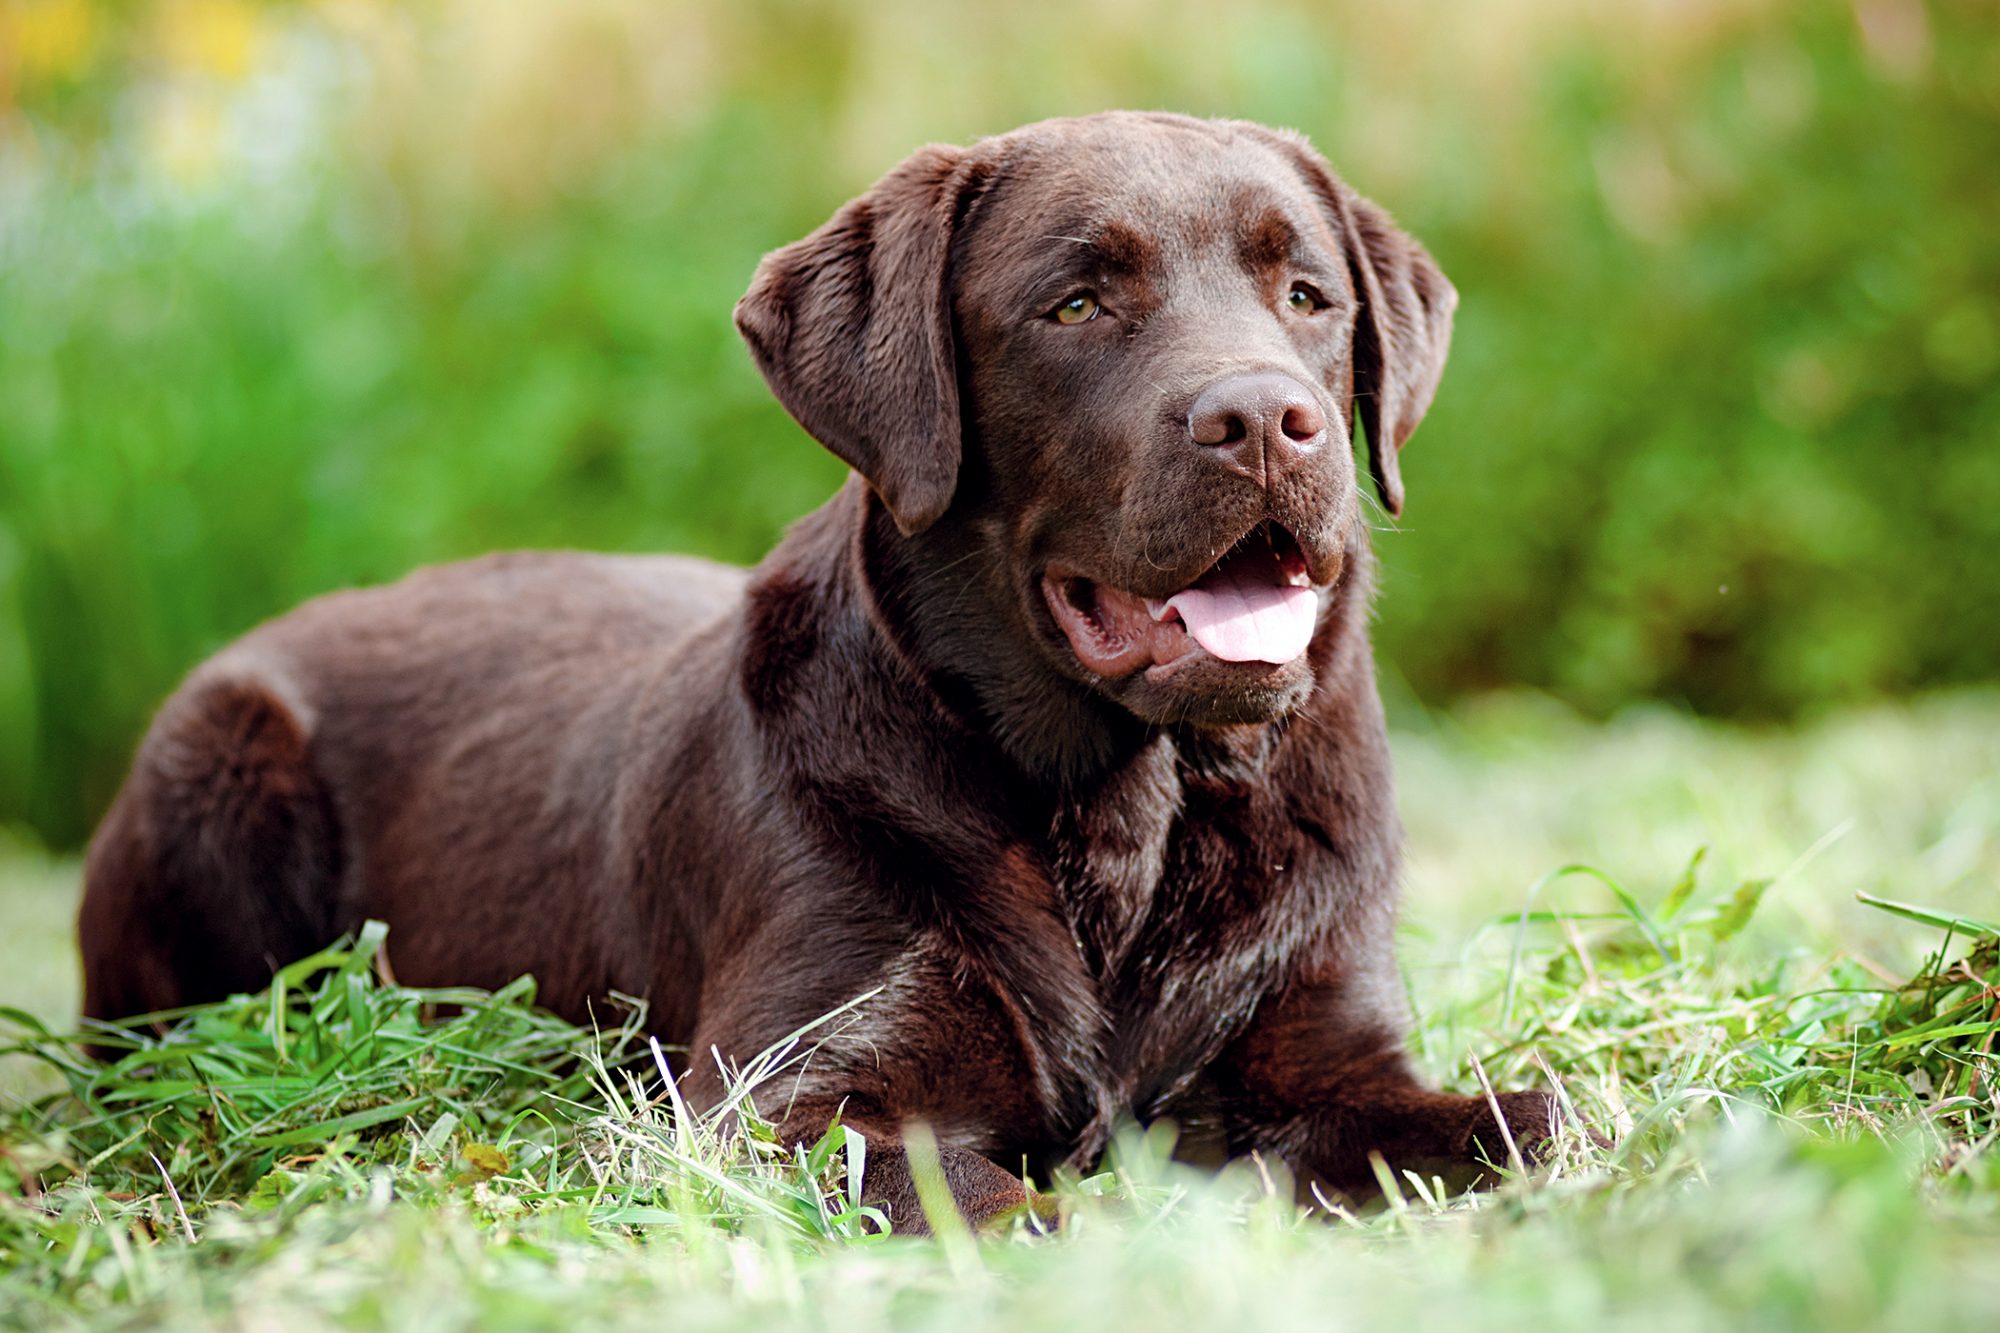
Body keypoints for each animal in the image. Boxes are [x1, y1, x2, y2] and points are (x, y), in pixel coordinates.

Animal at [82, 114, 1560, 1224]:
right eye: (1076, 302)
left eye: (1306, 295)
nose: (1266, 418)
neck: (1130, 813)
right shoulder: (783, 1100)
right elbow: (1016, 1199)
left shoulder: (1335, 1043)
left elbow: (1539, 1120)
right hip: (215, 769)